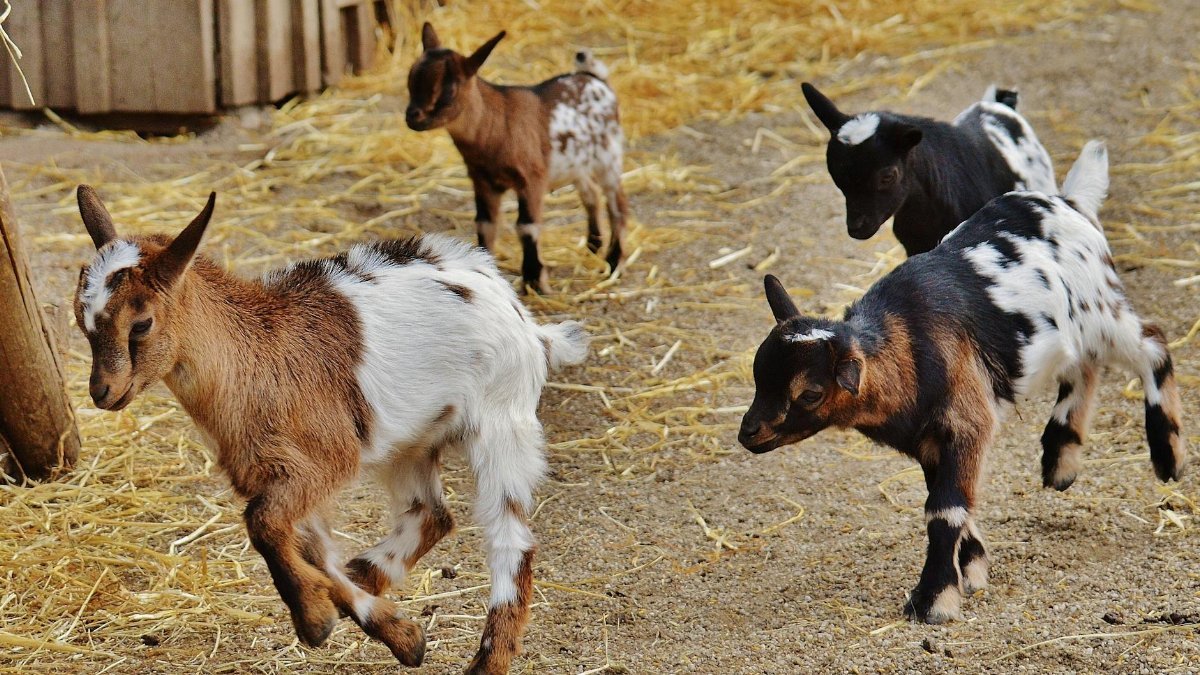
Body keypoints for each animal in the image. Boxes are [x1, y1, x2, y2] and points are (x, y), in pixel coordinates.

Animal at [73, 186, 589, 673]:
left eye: (141, 323)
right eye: (81, 321)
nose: (103, 391)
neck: (256, 356)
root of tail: (525, 320)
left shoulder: (323, 461)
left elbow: (263, 524)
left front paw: (315, 619)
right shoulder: (276, 475)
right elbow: (309, 548)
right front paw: (398, 634)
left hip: (502, 422)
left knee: (510, 538)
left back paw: (486, 662)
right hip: (409, 440)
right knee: (430, 514)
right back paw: (368, 576)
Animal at [406, 23, 629, 294]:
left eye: (449, 91)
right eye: (410, 80)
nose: (412, 117)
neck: (497, 125)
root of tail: (595, 79)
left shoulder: (531, 179)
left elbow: (527, 226)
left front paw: (535, 281)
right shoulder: (483, 181)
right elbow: (485, 224)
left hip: (609, 156)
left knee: (617, 205)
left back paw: (614, 262)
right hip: (577, 164)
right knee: (591, 194)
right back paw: (593, 247)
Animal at [739, 142, 1185, 623]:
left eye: (810, 393)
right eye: (758, 373)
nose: (749, 433)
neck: (909, 343)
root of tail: (1070, 201)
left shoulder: (967, 422)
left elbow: (945, 510)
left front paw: (933, 600)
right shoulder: (929, 441)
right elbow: (951, 501)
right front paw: (971, 571)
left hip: (1102, 312)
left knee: (1151, 344)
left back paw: (1168, 457)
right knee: (1085, 367)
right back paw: (1061, 461)